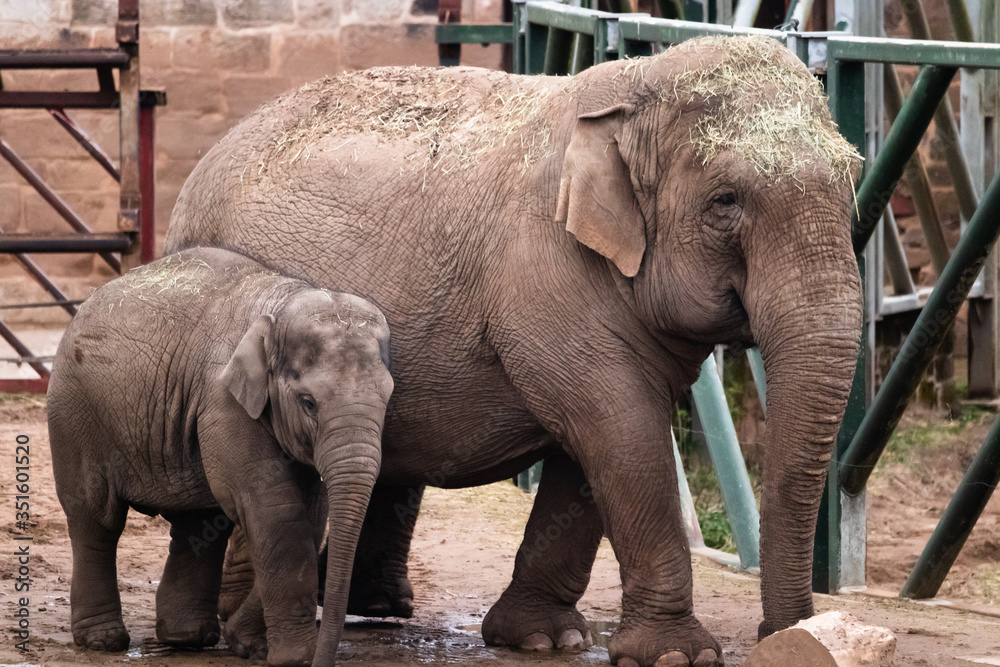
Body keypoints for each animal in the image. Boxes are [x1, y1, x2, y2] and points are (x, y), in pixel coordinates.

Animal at [46, 247, 393, 665]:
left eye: (388, 397)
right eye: (308, 402)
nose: (320, 661)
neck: (280, 304)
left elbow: (309, 516)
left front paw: (250, 645)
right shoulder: (222, 400)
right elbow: (274, 511)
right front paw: (289, 658)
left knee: (198, 521)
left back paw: (187, 638)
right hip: (74, 412)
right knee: (96, 519)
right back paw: (103, 641)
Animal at [164, 35, 863, 667]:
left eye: (854, 180)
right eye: (726, 202)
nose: (789, 638)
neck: (633, 87)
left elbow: (598, 445)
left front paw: (544, 640)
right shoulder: (549, 270)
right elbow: (619, 425)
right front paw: (674, 655)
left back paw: (378, 610)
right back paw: (245, 633)